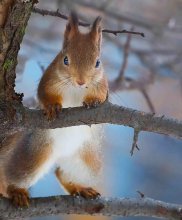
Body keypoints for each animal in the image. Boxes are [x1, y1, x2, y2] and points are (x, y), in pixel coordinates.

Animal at [0, 12, 108, 207]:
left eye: (98, 63)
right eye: (65, 59)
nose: (81, 81)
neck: (76, 89)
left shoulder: (103, 85)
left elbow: (102, 97)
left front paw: (93, 101)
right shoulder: (49, 80)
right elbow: (44, 94)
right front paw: (52, 107)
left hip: (85, 161)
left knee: (61, 172)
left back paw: (80, 188)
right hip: (36, 154)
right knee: (12, 176)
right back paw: (16, 191)